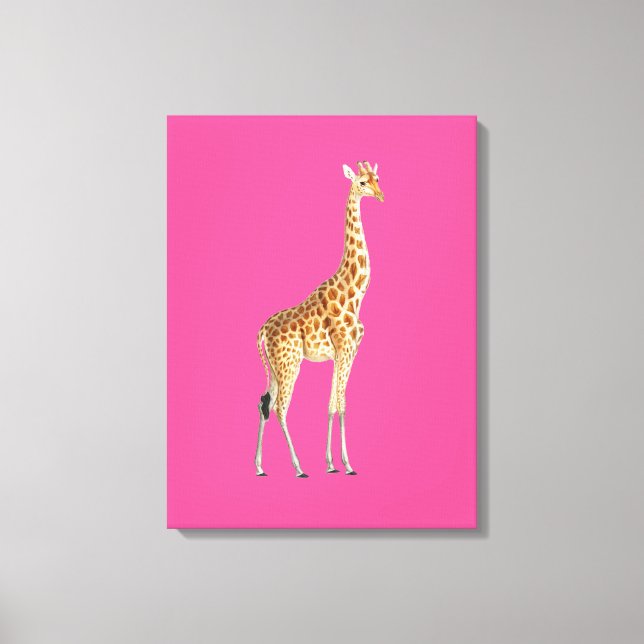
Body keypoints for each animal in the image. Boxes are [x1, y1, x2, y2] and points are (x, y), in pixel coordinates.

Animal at [254, 161, 384, 477]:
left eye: (377, 179)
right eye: (362, 182)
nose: (380, 196)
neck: (354, 293)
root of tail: (262, 330)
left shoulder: (344, 353)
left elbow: (333, 404)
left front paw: (332, 463)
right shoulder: (345, 349)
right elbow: (341, 403)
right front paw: (346, 464)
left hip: (275, 367)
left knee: (264, 402)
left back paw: (260, 467)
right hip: (289, 363)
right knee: (280, 407)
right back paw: (299, 467)